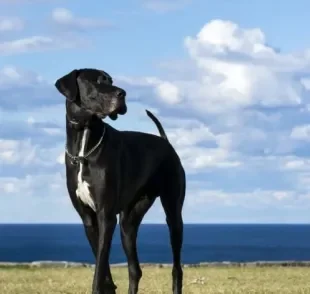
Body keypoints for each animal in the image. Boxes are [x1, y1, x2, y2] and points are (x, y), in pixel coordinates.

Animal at [54, 68, 185, 292]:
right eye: (97, 82)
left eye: (111, 80)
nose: (122, 93)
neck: (84, 145)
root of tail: (165, 142)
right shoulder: (89, 219)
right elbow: (102, 265)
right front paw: (108, 287)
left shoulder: (106, 216)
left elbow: (100, 266)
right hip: (128, 223)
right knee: (134, 270)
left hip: (173, 215)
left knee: (177, 269)